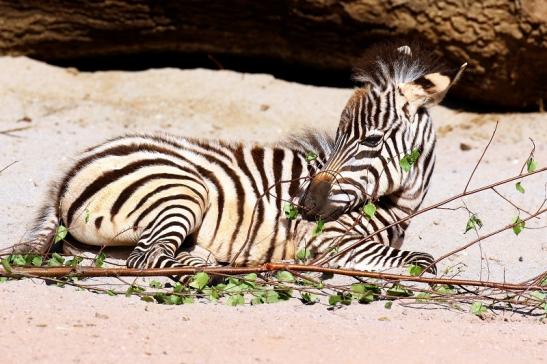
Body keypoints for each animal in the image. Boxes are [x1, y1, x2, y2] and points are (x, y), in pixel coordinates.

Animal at [12, 42, 464, 276]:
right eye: (338, 138)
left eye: (370, 140)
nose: (304, 205)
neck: (395, 205)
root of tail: (69, 171)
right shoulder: (327, 241)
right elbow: (419, 262)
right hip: (181, 191)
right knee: (146, 258)